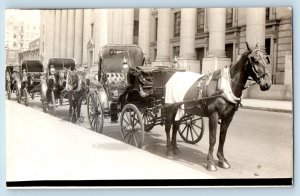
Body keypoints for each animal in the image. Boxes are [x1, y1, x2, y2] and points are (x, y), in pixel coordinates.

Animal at [164, 42, 272, 171]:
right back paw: (169, 150)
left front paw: (222, 160)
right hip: (170, 107)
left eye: (266, 58)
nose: (267, 84)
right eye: (255, 59)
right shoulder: (213, 115)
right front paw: (210, 162)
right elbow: (213, 138)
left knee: (176, 126)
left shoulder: (228, 117)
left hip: (182, 109)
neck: (225, 86)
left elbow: (222, 137)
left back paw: (175, 148)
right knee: (168, 127)